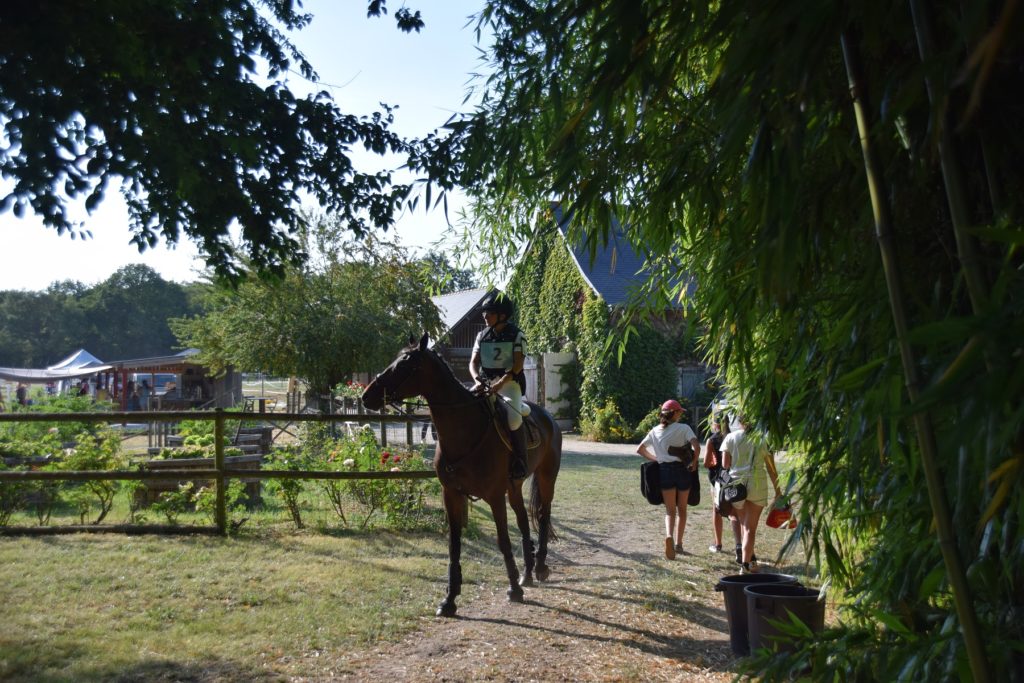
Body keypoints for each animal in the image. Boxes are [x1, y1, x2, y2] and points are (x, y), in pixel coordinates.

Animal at [362, 333, 565, 618]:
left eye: (404, 364)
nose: (366, 396)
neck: (466, 430)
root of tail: (549, 418)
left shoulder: (494, 497)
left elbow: (503, 541)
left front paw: (513, 589)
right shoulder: (452, 494)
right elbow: (454, 545)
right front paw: (449, 599)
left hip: (547, 478)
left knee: (544, 516)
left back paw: (540, 568)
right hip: (514, 488)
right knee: (525, 522)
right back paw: (527, 573)